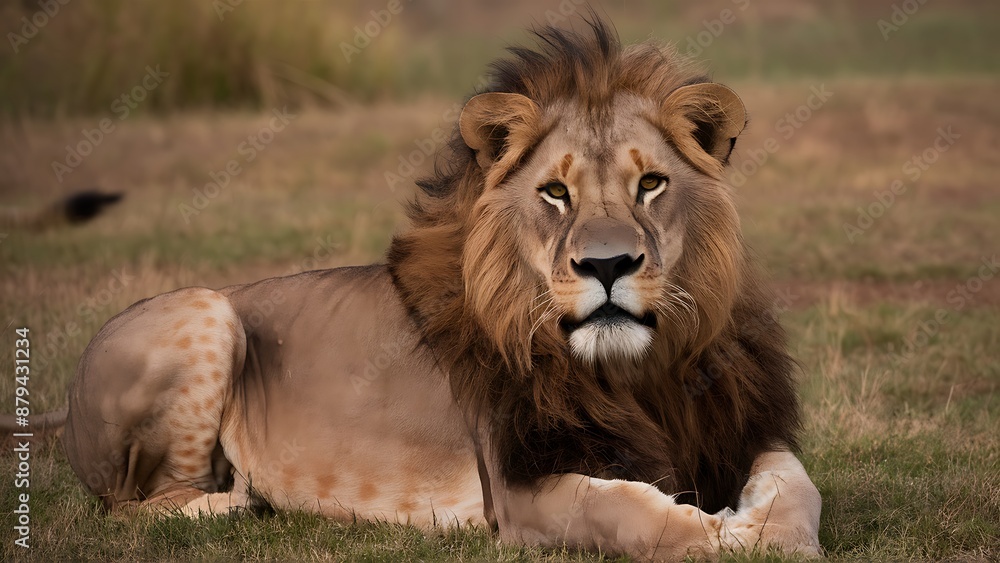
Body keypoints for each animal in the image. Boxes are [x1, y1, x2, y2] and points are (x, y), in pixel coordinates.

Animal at [51, 20, 822, 560]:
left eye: (651, 184)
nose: (608, 265)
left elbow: (798, 492)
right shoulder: (518, 487)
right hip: (205, 308)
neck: (638, 373)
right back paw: (243, 501)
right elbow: (637, 518)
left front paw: (764, 527)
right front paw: (724, 531)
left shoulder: (738, 428)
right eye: (555, 193)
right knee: (134, 504)